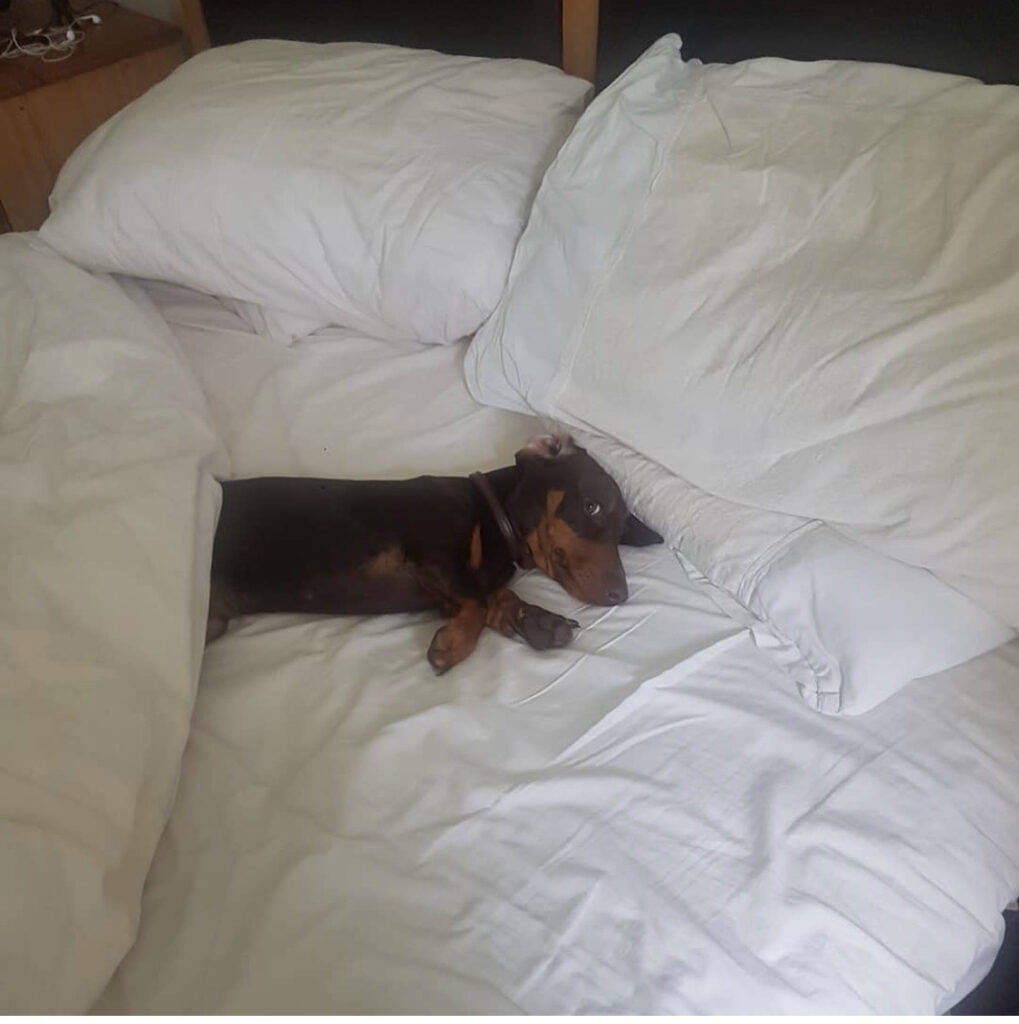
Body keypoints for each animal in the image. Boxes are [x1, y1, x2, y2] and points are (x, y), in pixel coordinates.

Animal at [206, 434, 659, 667]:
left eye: (622, 531)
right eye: (592, 506)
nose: (621, 596)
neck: (493, 515)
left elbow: (495, 596)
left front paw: (537, 621)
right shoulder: (432, 555)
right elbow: (476, 602)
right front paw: (453, 645)